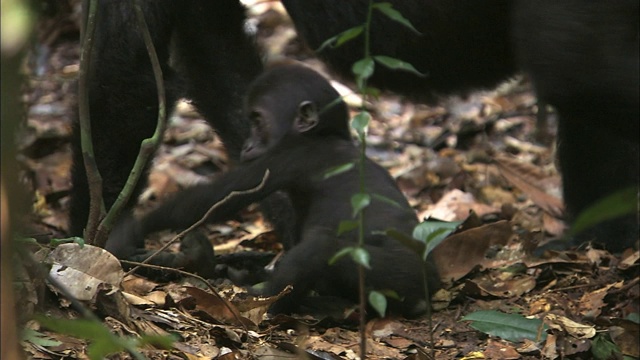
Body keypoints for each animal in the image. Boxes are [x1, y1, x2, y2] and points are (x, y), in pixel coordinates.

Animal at [107, 64, 438, 316]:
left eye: (258, 121)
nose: (248, 144)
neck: (324, 135)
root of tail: (428, 295)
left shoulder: (287, 157)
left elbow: (217, 197)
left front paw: (133, 228)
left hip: (398, 275)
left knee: (319, 248)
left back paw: (263, 299)